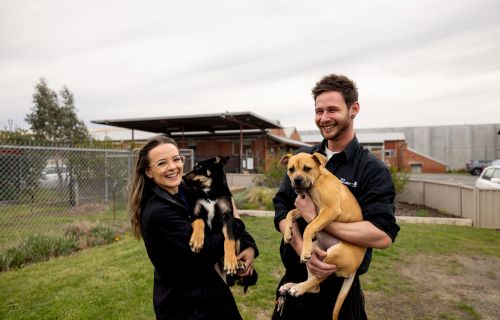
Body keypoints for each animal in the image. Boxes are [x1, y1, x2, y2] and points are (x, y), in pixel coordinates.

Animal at [182, 156, 258, 292]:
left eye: (199, 167)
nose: (182, 177)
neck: (210, 193)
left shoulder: (227, 217)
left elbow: (229, 239)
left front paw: (231, 261)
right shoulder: (196, 214)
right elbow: (200, 222)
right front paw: (197, 241)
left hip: (238, 239)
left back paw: (238, 262)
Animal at [280, 152, 366, 320]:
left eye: (307, 168)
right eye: (291, 169)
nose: (296, 180)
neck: (317, 180)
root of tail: (354, 269)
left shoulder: (330, 209)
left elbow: (310, 227)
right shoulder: (309, 208)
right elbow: (290, 213)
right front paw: (288, 233)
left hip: (334, 255)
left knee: (321, 277)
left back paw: (299, 287)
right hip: (316, 252)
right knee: (316, 286)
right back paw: (292, 285)